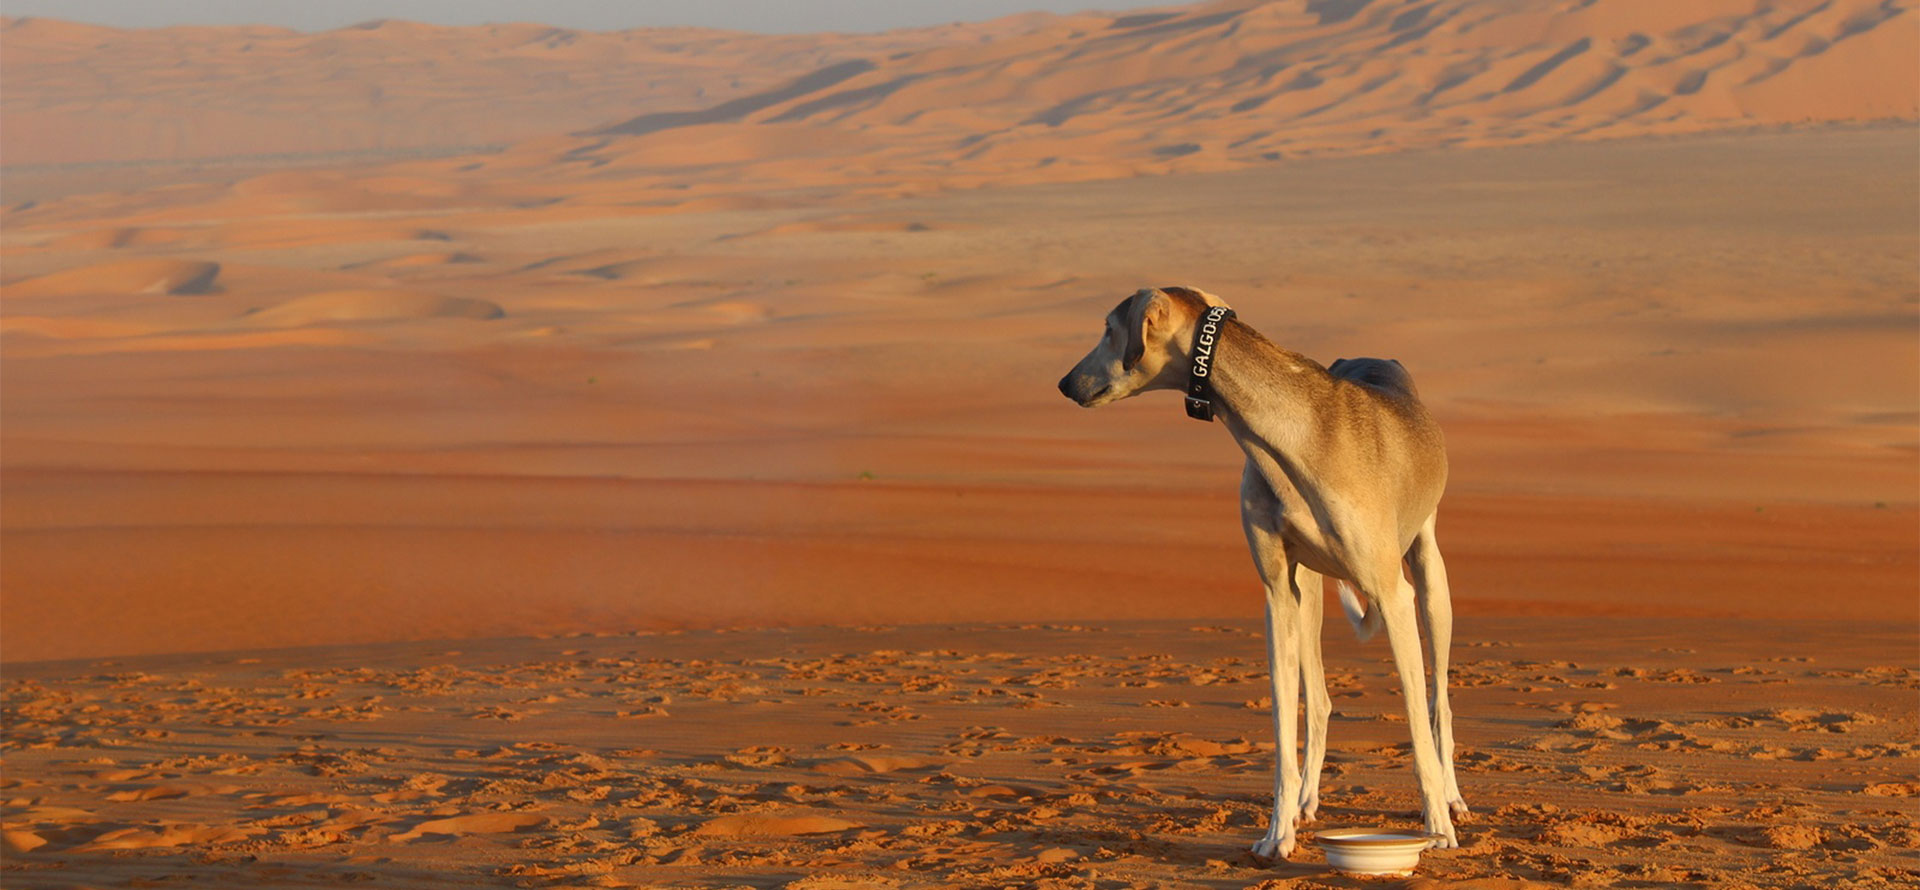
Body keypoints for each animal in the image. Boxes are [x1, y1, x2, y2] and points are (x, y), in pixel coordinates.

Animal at [1059, 287, 1459, 859]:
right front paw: (1278, 831)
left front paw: (1437, 827)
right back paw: (1309, 801)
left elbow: (1418, 729)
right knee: (1320, 700)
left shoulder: (1391, 594)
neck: (1291, 433)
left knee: (1437, 703)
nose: (1066, 383)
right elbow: (1282, 726)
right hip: (1311, 592)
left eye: (1109, 329)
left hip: (1429, 581)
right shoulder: (1277, 596)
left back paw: (1451, 802)